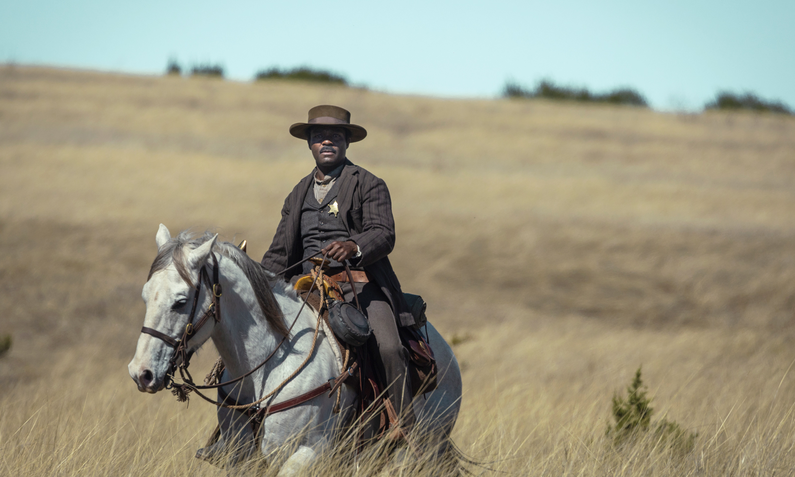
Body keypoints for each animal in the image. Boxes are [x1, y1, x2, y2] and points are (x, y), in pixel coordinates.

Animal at [127, 225, 464, 474]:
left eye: (180, 301)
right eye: (145, 295)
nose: (141, 373)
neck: (269, 364)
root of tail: (447, 355)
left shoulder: (306, 453)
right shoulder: (242, 459)